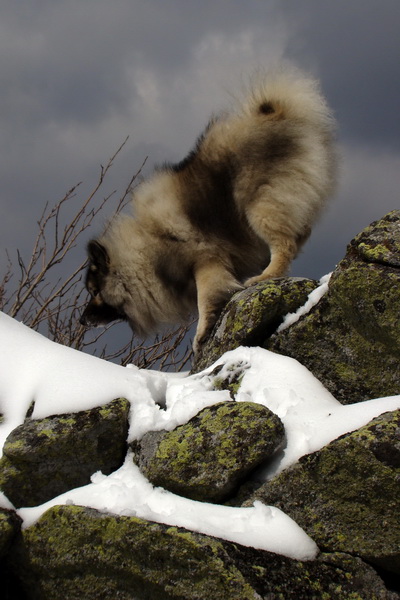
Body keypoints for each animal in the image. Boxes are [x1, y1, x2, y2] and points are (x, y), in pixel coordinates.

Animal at [79, 66, 336, 354]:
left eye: (95, 292)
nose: (81, 319)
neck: (148, 248)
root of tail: (277, 112)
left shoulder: (206, 261)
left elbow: (206, 299)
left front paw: (201, 335)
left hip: (260, 209)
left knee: (284, 244)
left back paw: (265, 276)